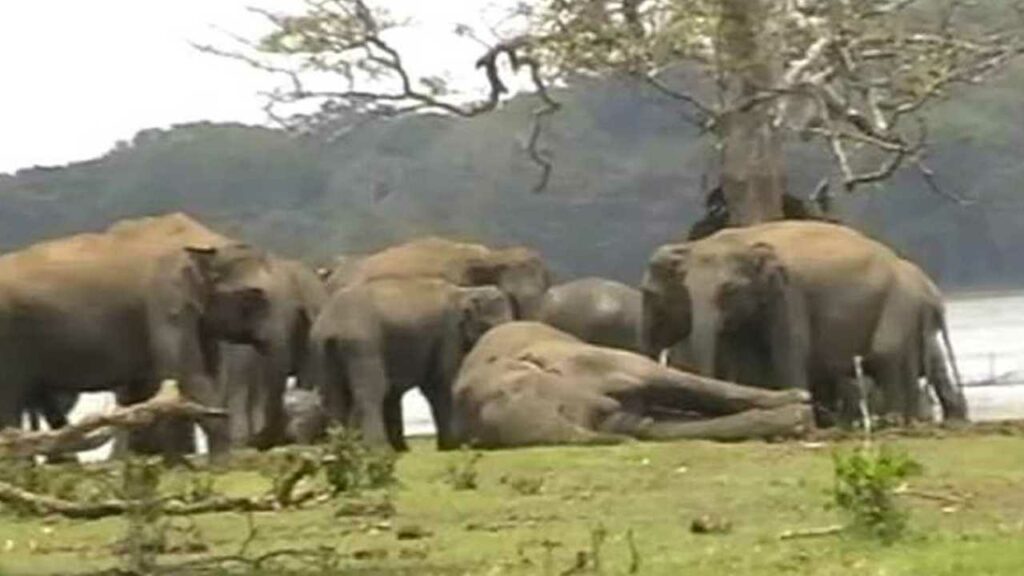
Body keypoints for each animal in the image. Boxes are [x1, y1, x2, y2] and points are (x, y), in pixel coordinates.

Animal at [0, 212, 288, 457]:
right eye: (254, 295)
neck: (208, 241)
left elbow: (203, 374)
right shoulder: (165, 298)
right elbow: (185, 373)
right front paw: (218, 464)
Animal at [301, 276, 512, 448]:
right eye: (490, 326)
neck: (464, 291)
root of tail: (332, 325)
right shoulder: (448, 334)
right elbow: (439, 383)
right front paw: (452, 446)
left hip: (320, 347)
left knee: (333, 395)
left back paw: (342, 449)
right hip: (362, 344)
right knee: (371, 391)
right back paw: (379, 449)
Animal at [452, 319, 811, 446]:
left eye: (552, 376)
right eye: (564, 411)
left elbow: (674, 381)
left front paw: (798, 400)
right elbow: (656, 424)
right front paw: (796, 418)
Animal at [643, 219, 962, 422]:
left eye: (729, 290)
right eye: (684, 289)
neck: (744, 238)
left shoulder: (789, 295)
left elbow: (789, 351)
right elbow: (745, 356)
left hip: (900, 302)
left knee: (887, 354)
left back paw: (896, 423)